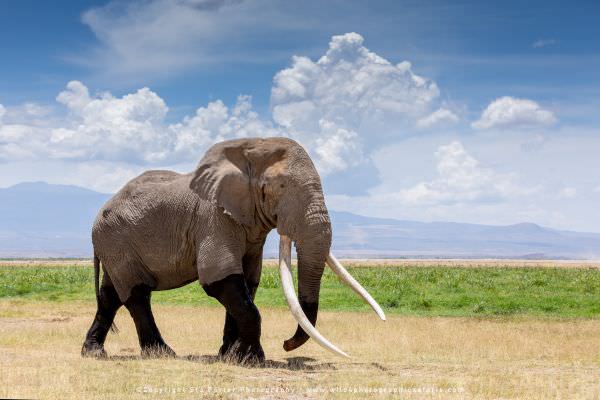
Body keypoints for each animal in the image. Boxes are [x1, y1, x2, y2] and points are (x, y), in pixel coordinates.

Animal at [81, 138, 384, 362]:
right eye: (281, 186)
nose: (286, 344)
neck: (249, 149)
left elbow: (247, 283)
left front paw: (231, 356)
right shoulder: (213, 218)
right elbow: (220, 279)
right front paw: (248, 359)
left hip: (116, 246)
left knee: (111, 294)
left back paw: (94, 353)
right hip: (116, 241)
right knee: (136, 294)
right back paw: (162, 354)